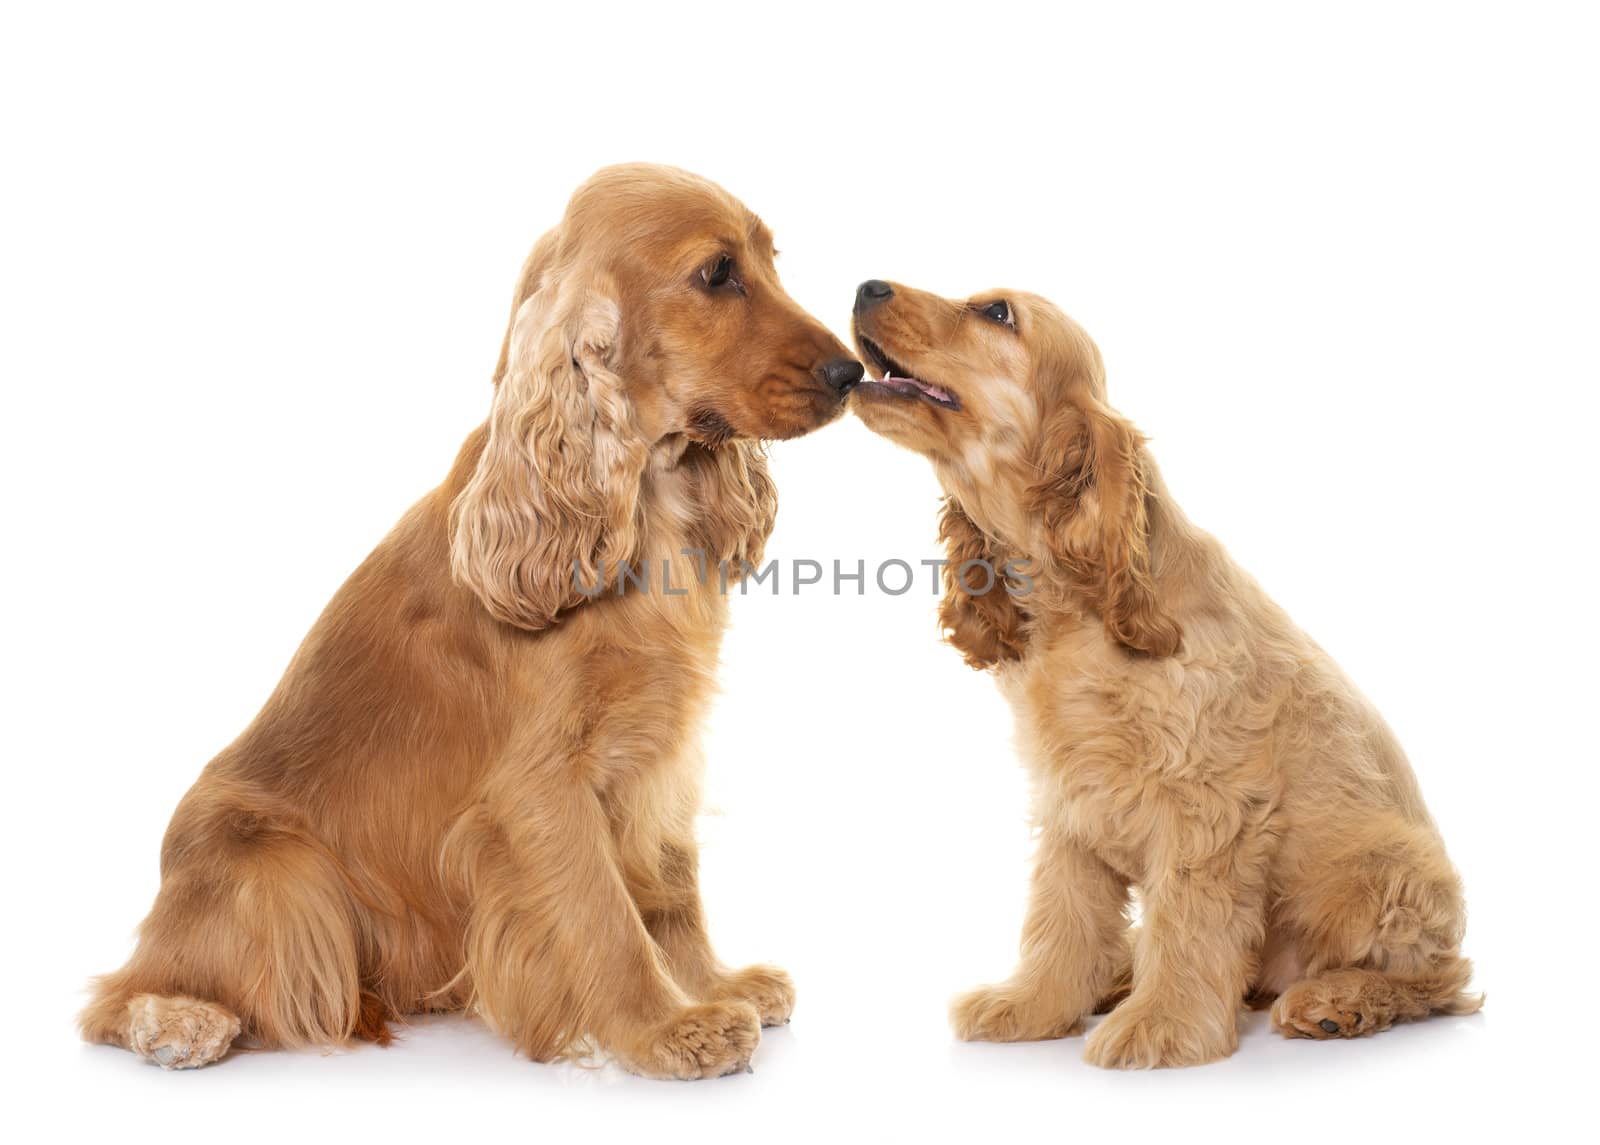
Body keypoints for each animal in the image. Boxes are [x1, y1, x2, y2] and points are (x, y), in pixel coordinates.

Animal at [851, 281, 1472, 1068]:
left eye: (996, 313)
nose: (866, 286)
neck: (1077, 610)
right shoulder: (1071, 802)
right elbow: (1061, 914)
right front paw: (1032, 1005)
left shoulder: (1208, 805)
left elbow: (1187, 922)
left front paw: (1163, 1026)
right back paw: (1120, 976)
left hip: (1388, 879)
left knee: (1443, 976)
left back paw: (1338, 1002)